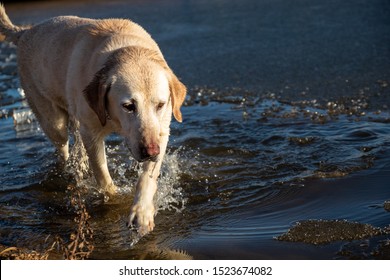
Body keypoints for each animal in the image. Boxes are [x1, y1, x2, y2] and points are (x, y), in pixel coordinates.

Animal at [0, 5, 186, 235]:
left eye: (160, 104)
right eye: (128, 106)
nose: (150, 151)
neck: (129, 51)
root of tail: (25, 31)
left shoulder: (161, 132)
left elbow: (148, 177)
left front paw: (142, 213)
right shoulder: (92, 132)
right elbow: (102, 175)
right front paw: (115, 201)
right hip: (52, 119)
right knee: (63, 148)